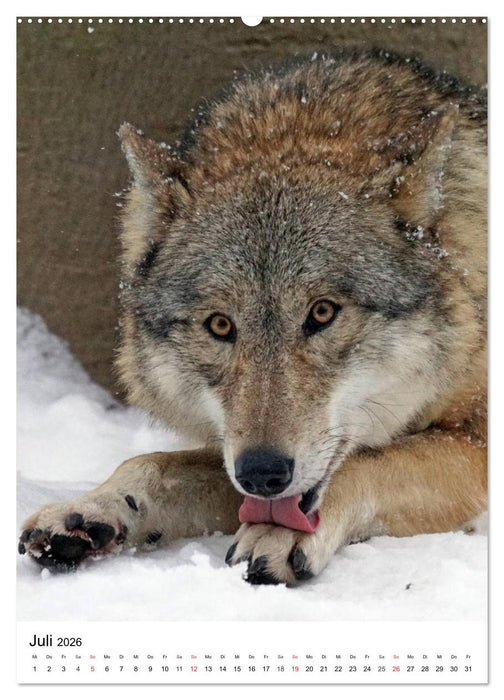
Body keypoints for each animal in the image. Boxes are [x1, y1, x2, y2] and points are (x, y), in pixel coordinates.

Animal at [19, 49, 487, 586]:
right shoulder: (230, 453)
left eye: (322, 313)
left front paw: (282, 532)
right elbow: (150, 464)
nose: (263, 473)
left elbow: (366, 462)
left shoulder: (475, 445)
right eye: (220, 325)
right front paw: (89, 511)